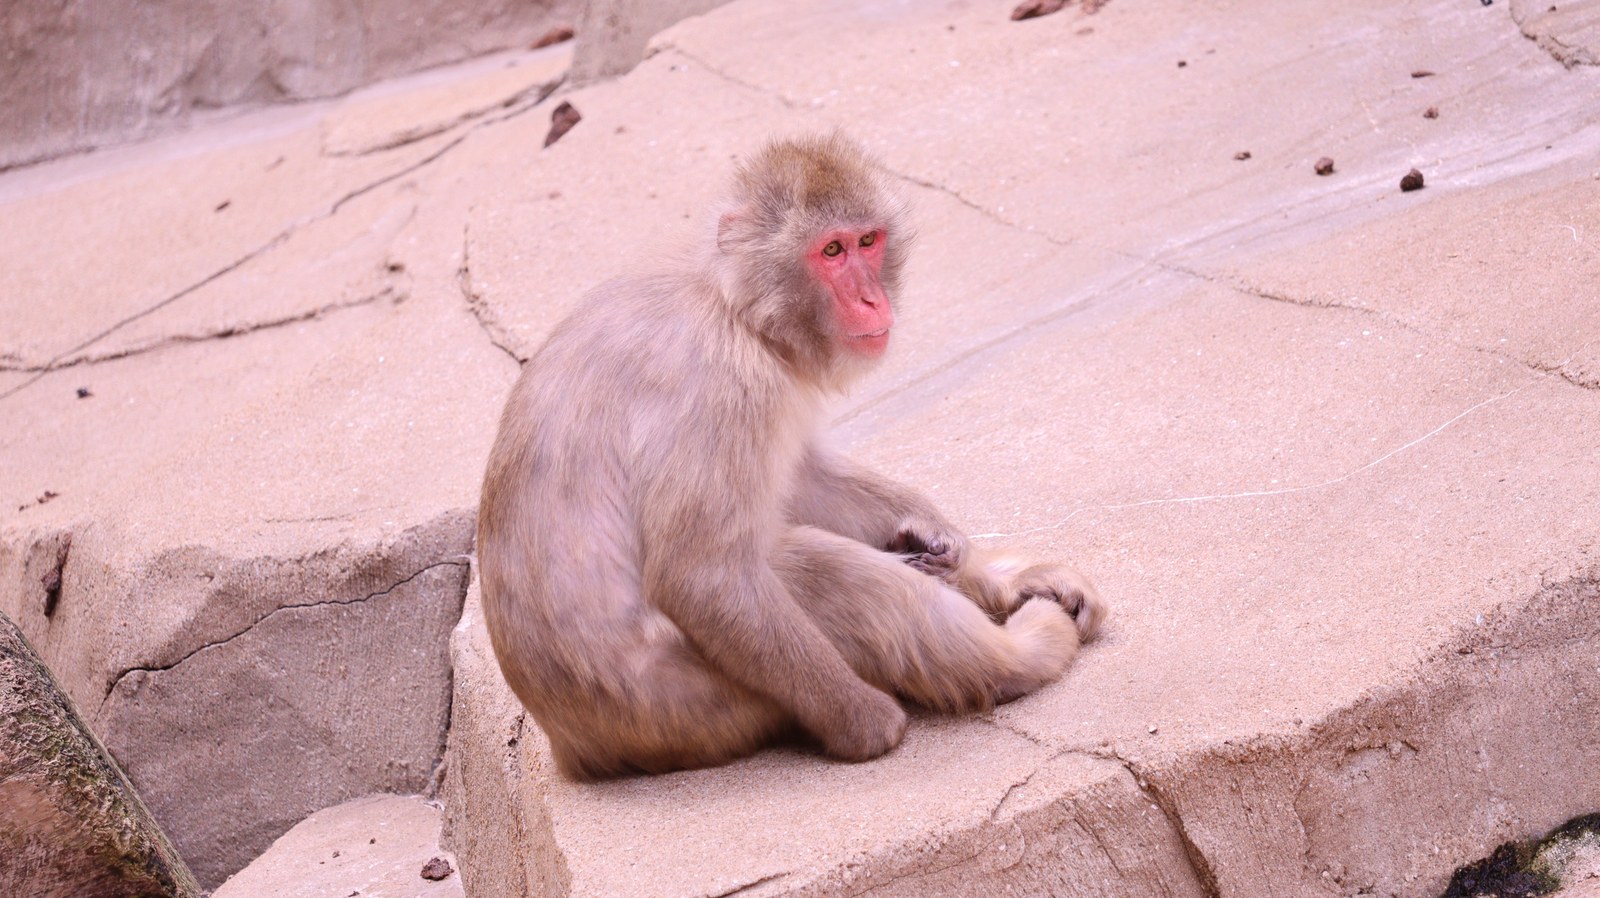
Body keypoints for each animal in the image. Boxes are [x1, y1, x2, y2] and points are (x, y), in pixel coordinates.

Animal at [476, 133, 1106, 780]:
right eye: (830, 251)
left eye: (867, 242)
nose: (871, 299)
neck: (734, 307)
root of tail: (577, 748)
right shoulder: (724, 386)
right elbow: (703, 577)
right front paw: (865, 722)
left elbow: (802, 477)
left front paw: (941, 534)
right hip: (697, 705)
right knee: (792, 563)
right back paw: (1020, 657)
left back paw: (1009, 586)